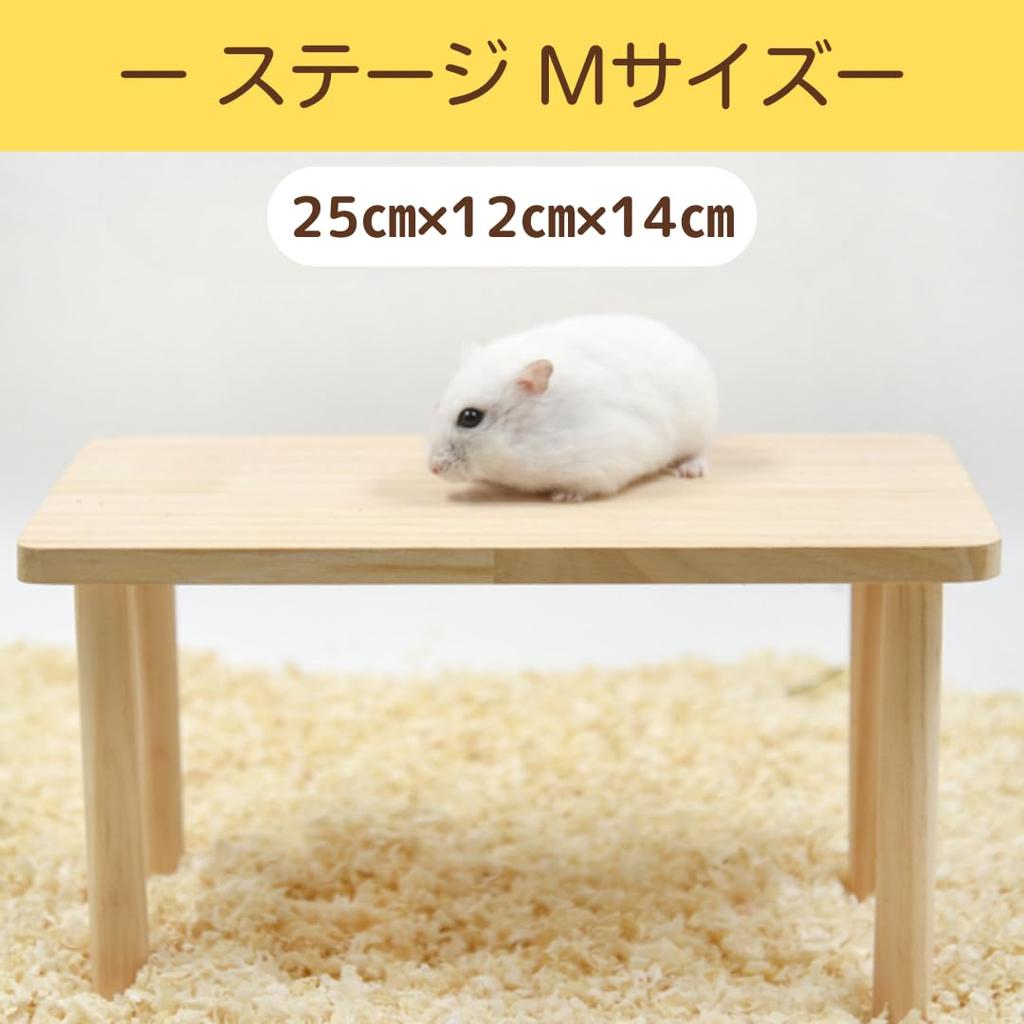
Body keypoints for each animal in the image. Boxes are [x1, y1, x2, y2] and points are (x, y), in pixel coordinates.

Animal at [427, 314, 718, 501]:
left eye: (470, 417)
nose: (432, 469)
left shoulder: (605, 462)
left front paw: (563, 496)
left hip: (698, 428)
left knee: (700, 451)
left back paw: (689, 471)